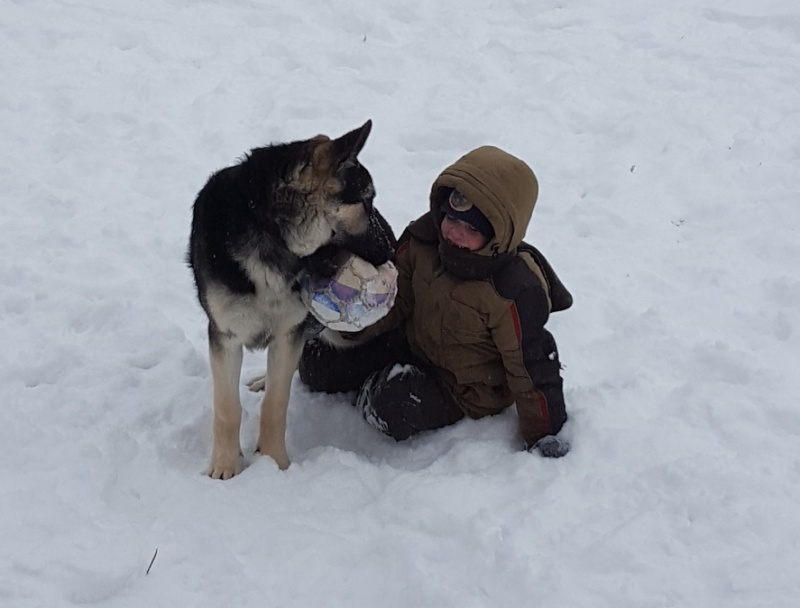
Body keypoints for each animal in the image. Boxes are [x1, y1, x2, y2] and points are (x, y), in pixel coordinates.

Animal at [191, 120, 396, 480]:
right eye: (366, 200)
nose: (391, 249)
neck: (274, 236)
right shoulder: (225, 337)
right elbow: (228, 408)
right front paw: (225, 466)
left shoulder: (289, 334)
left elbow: (276, 403)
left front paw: (274, 462)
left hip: (342, 333)